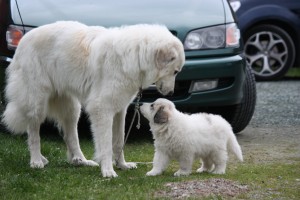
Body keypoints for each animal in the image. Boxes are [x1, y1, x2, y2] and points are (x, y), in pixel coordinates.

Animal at [2, 21, 185, 178]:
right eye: (175, 71)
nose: (170, 92)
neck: (136, 55)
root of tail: (25, 38)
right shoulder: (102, 108)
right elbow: (106, 144)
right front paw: (108, 171)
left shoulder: (120, 109)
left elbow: (119, 141)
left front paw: (122, 165)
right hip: (37, 102)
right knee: (33, 133)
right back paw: (36, 161)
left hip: (71, 108)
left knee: (70, 136)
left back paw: (80, 160)